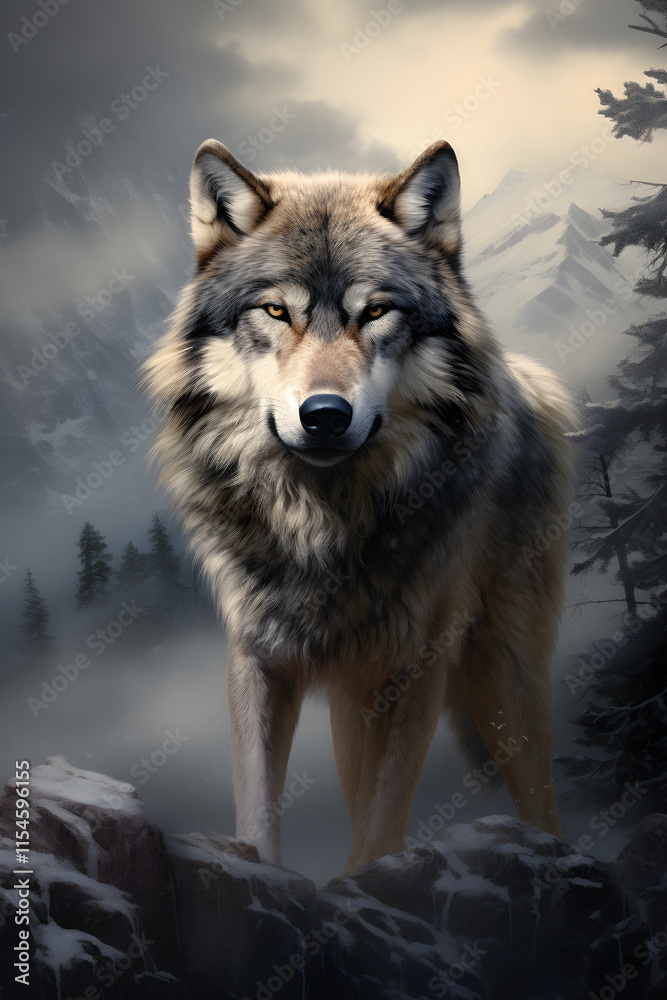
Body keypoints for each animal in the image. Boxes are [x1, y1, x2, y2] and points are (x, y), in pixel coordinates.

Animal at [144, 138, 577, 875]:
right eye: (276, 312)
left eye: (374, 312)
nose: (324, 415)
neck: (325, 522)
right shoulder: (257, 655)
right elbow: (258, 807)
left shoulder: (419, 662)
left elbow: (381, 827)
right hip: (356, 702)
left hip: (502, 677)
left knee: (541, 800)